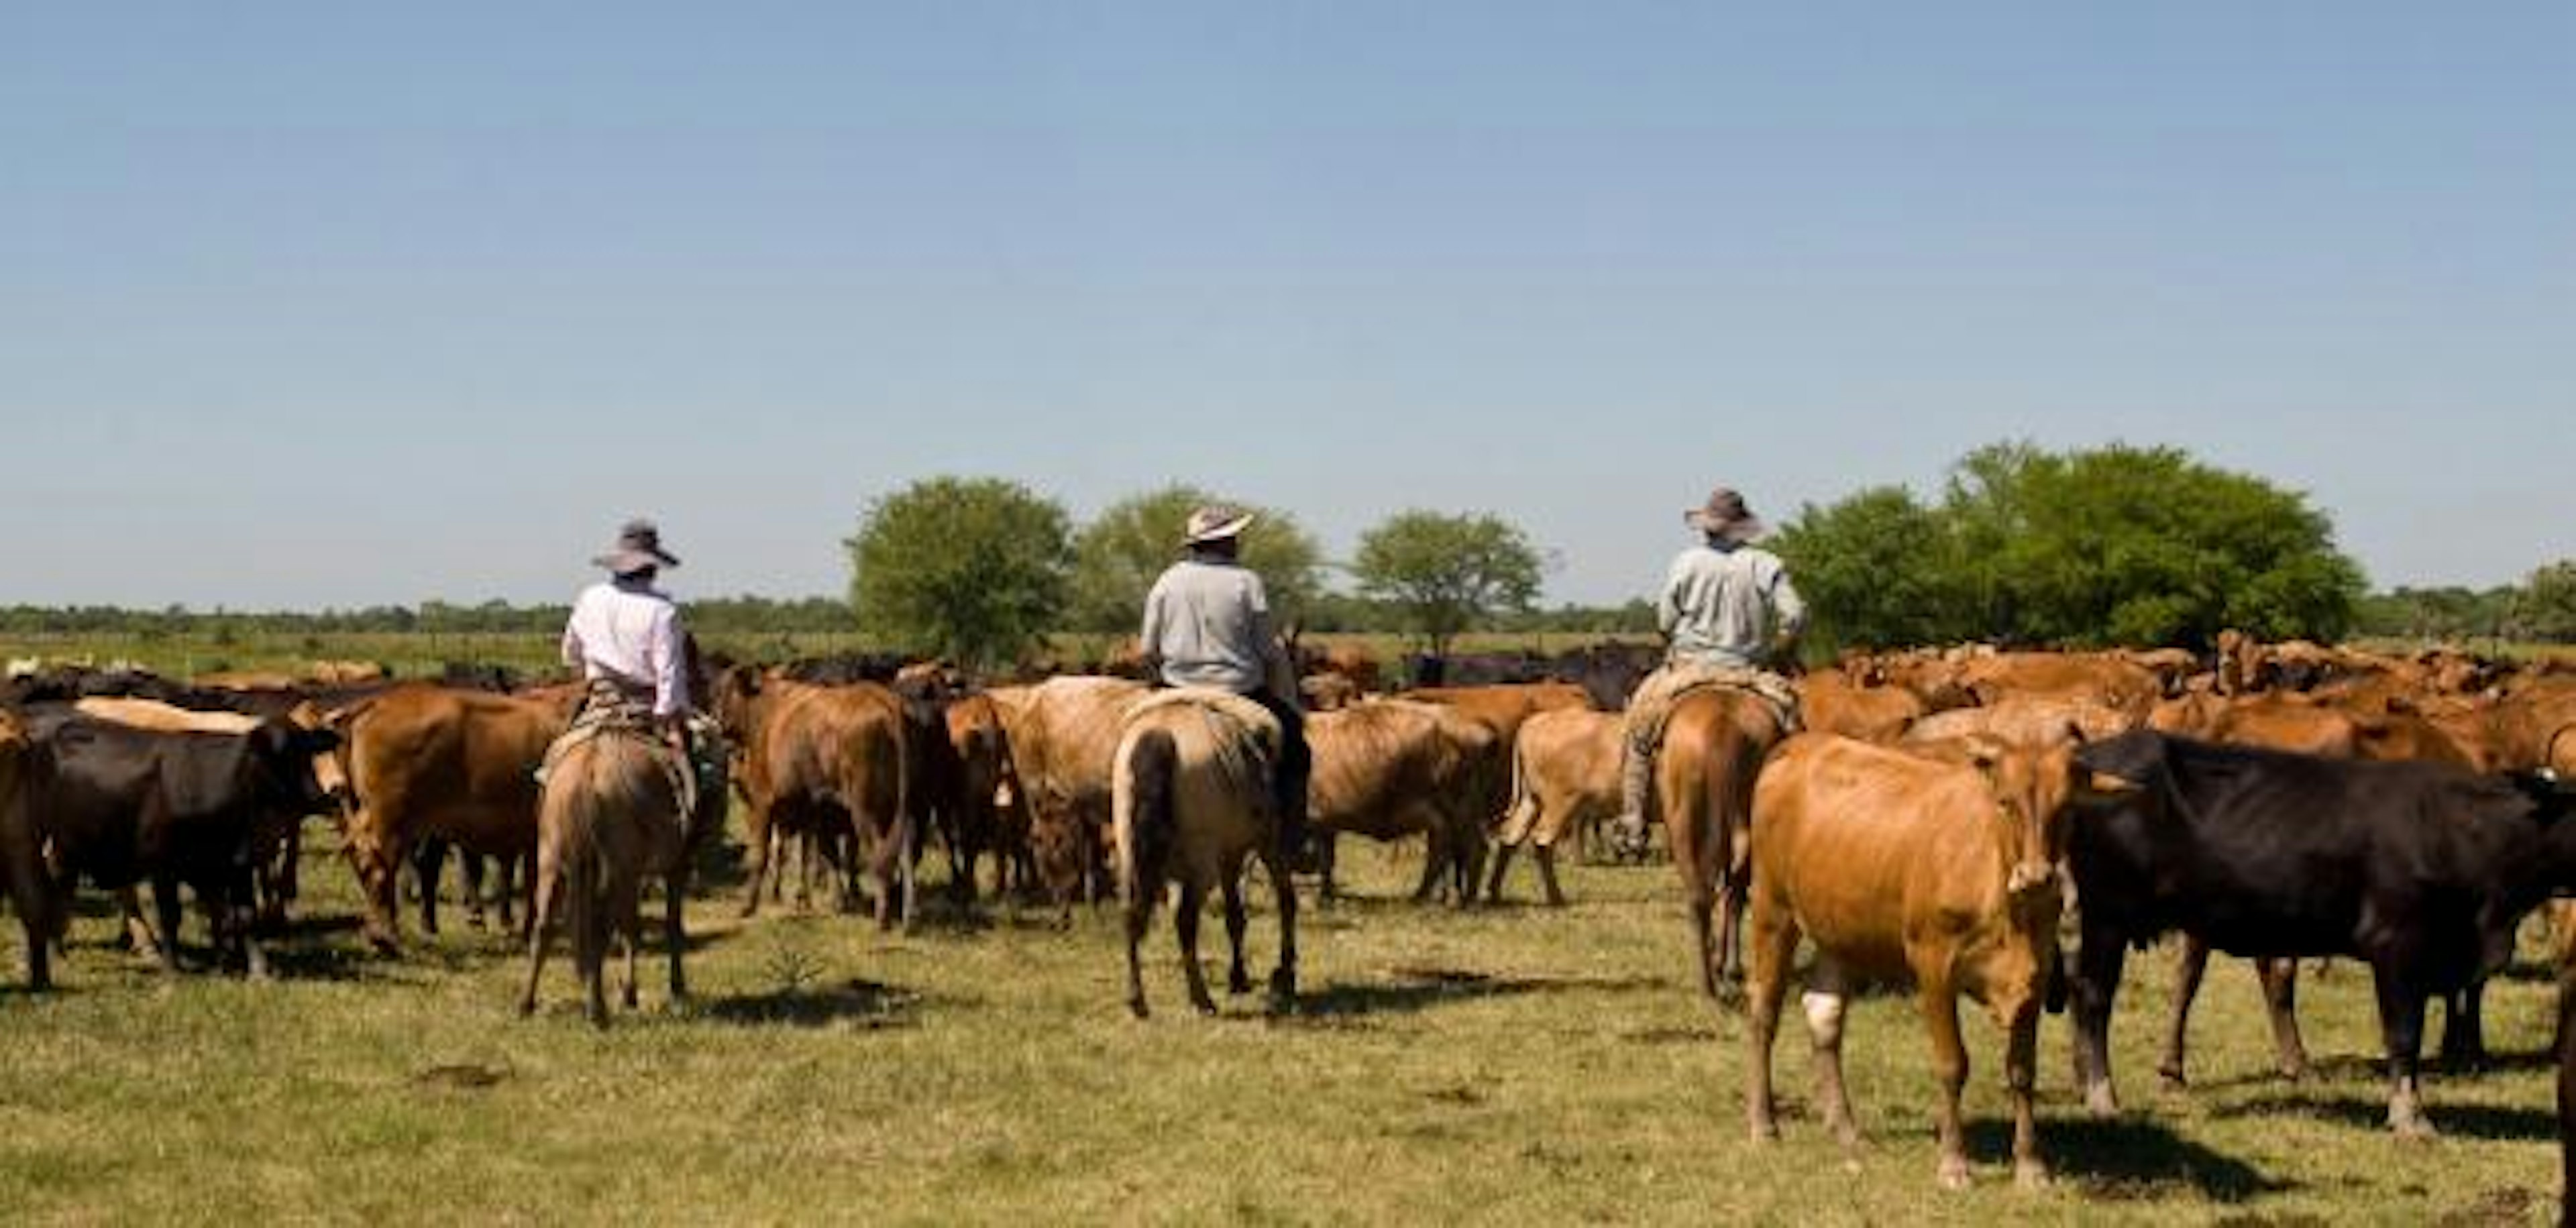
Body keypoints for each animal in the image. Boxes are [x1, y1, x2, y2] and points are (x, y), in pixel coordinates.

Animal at [24, 710, 339, 978]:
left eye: (308, 754)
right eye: (276, 758)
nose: (320, 796)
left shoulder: (236, 863)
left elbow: (243, 915)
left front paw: (256, 970)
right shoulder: (164, 867)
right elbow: (171, 917)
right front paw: (172, 970)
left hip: (69, 846)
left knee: (64, 888)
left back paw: (59, 948)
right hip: (54, 842)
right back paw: (57, 950)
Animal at [716, 669, 917, 926]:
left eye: (726, 691)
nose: (719, 721)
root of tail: (885, 700)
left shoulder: (762, 804)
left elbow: (761, 855)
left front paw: (748, 907)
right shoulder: (815, 813)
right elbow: (824, 856)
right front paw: (833, 902)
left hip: (866, 811)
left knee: (880, 856)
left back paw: (882, 919)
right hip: (901, 808)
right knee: (904, 855)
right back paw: (906, 915)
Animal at [1112, 689, 1298, 1014]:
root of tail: (1159, 733)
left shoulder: (1226, 858)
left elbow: (1235, 916)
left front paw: (1239, 978)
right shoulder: (1263, 846)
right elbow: (1283, 902)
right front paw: (1282, 974)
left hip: (1130, 856)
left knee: (1131, 916)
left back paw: (1138, 1000)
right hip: (1204, 863)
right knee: (1186, 921)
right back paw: (1201, 998)